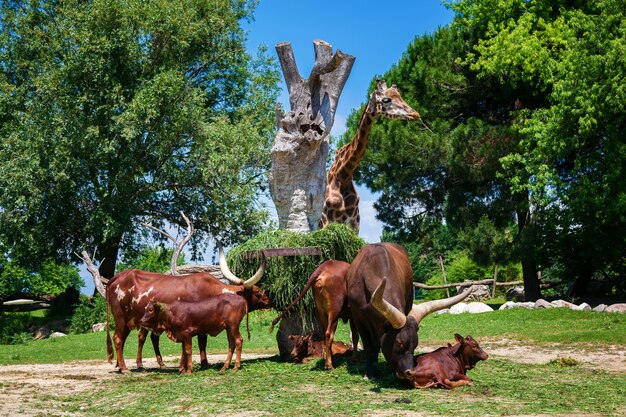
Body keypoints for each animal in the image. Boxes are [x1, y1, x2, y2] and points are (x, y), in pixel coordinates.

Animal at [98, 249, 264, 372]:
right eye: (258, 292)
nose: (269, 299)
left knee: (130, 339)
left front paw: (199, 363)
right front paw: (200, 364)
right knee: (118, 339)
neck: (211, 289)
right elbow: (200, 342)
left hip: (129, 321)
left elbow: (199, 343)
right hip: (120, 318)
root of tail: (116, 278)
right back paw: (125, 367)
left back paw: (125, 365)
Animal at [320, 81, 416, 231]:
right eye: (386, 100)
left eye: (400, 96)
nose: (415, 114)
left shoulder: (354, 225)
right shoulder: (326, 222)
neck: (343, 175)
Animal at [344, 242, 470, 382]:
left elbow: (377, 344)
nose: (409, 372)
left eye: (415, 344)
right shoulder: (359, 319)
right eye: (399, 342)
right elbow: (368, 347)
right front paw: (369, 373)